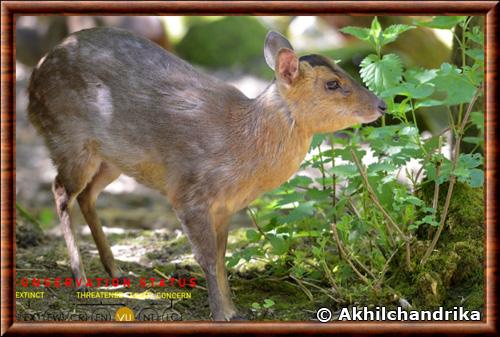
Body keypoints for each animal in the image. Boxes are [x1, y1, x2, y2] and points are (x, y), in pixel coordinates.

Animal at [28, 27, 386, 318]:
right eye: (332, 83)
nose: (381, 105)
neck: (241, 146)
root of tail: (33, 83)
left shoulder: (226, 206)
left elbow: (222, 256)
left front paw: (233, 310)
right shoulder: (189, 193)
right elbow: (206, 257)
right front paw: (221, 313)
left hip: (112, 160)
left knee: (86, 195)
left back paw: (116, 270)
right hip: (71, 139)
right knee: (60, 190)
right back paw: (81, 277)